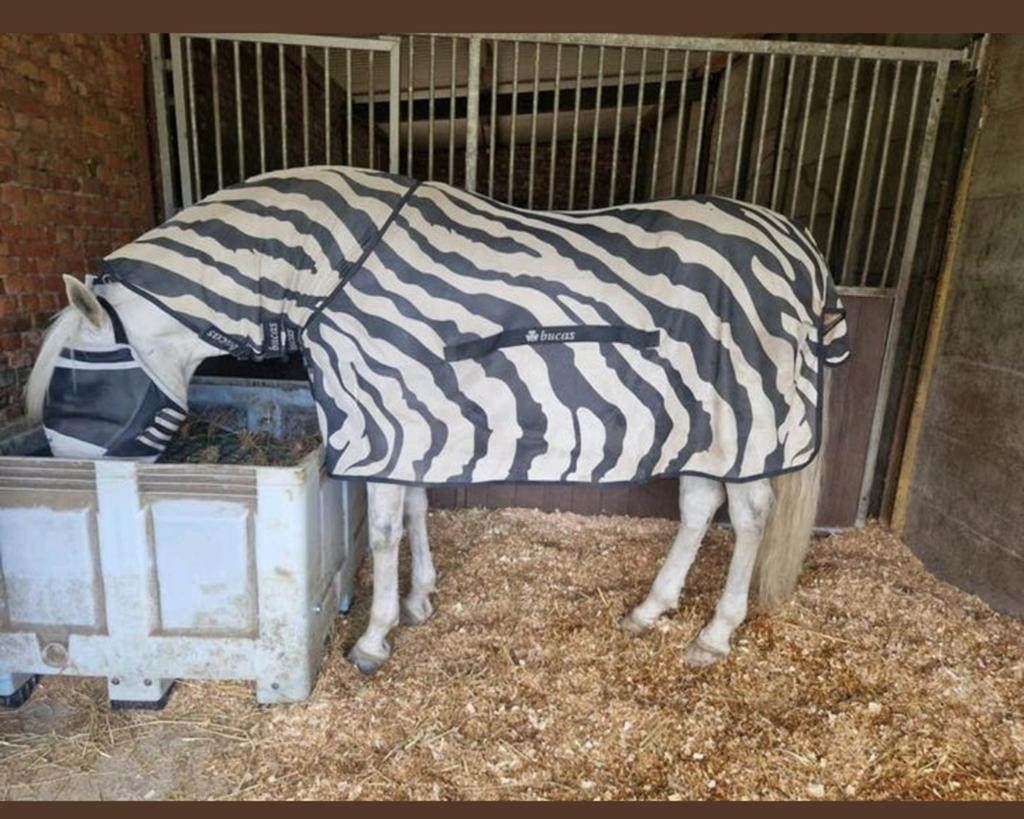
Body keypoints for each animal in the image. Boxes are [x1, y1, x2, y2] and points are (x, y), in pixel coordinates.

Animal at [27, 165, 849, 674]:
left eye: (75, 388)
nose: (62, 480)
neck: (314, 277)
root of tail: (800, 246)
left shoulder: (382, 409)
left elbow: (385, 528)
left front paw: (374, 636)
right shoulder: (412, 412)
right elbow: (418, 505)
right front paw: (421, 600)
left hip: (749, 417)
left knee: (748, 516)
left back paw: (715, 634)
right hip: (705, 422)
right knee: (702, 505)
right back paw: (651, 609)